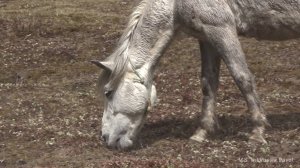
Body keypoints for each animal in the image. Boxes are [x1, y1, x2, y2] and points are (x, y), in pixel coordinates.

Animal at [91, 0, 300, 150]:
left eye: (108, 93)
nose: (106, 138)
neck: (175, 4)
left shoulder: (222, 29)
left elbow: (242, 78)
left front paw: (257, 132)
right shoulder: (207, 36)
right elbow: (208, 83)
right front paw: (202, 132)